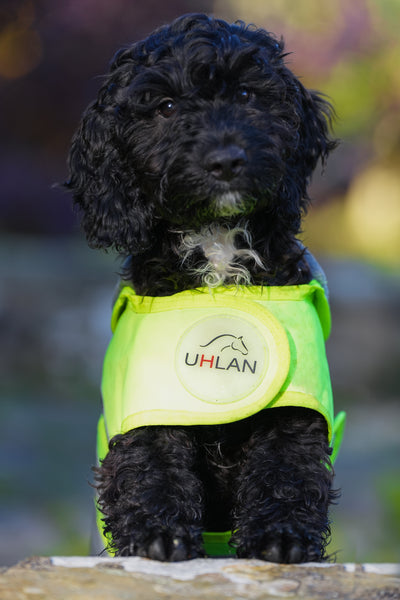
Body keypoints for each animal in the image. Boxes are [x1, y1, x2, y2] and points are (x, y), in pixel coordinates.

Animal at [66, 12, 340, 564]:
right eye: (166, 107)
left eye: (247, 95)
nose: (226, 160)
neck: (216, 246)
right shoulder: (146, 398)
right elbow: (151, 461)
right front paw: (157, 534)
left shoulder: (295, 403)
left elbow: (286, 463)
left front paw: (281, 537)